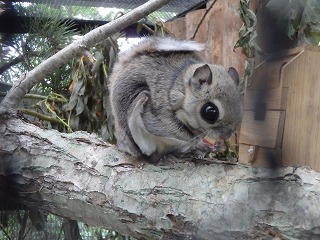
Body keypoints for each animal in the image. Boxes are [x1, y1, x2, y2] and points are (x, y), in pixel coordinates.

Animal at [109, 36, 242, 163]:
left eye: (240, 109)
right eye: (210, 112)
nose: (226, 135)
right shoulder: (161, 105)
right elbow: (164, 127)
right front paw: (200, 143)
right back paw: (159, 158)